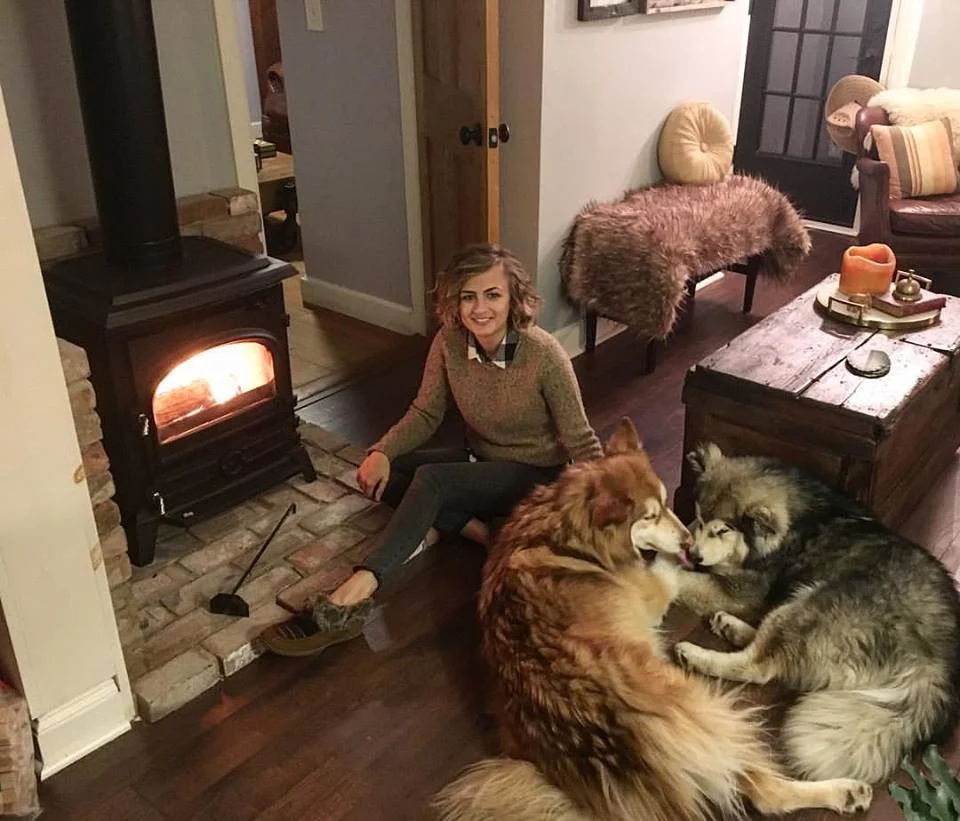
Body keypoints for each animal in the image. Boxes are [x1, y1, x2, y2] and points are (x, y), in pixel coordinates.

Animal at [432, 419, 872, 821]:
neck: (563, 533)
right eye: (650, 516)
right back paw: (845, 792)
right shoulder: (654, 590)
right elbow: (670, 571)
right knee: (763, 790)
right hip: (710, 711)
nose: (689, 543)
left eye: (665, 503)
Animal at [672, 443, 960, 785]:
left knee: (760, 665)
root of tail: (938, 665)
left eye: (722, 530)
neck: (794, 524)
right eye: (700, 518)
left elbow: (684, 580)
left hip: (811, 603)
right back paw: (732, 627)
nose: (693, 554)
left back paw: (696, 654)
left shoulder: (740, 591)